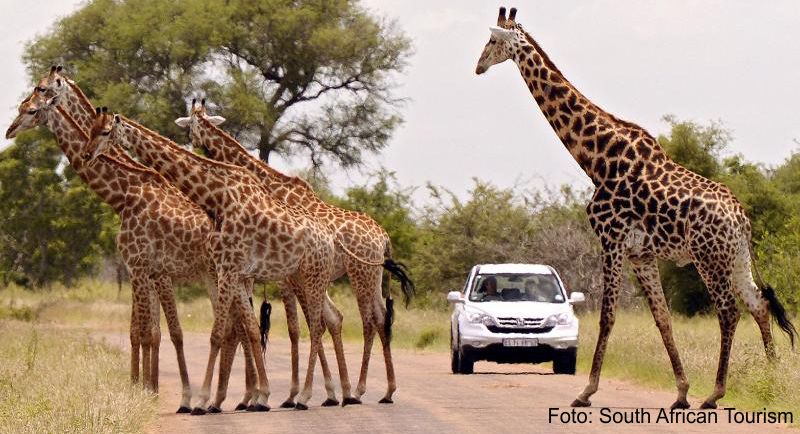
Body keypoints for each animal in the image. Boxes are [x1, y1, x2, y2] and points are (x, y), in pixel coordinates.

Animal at [172, 98, 416, 404]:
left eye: (190, 126)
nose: (190, 144)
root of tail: (383, 238)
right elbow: (309, 323)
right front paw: (320, 391)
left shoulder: (285, 277)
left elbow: (297, 327)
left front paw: (294, 394)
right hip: (373, 277)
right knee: (381, 318)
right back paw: (385, 390)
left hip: (360, 275)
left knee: (369, 321)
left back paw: (360, 389)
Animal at [476, 6, 792, 408]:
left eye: (492, 40)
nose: (478, 66)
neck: (596, 160)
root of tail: (742, 219)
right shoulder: (641, 253)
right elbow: (662, 318)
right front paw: (681, 392)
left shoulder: (611, 240)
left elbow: (607, 316)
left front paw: (586, 391)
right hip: (735, 257)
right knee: (758, 304)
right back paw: (772, 378)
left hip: (709, 258)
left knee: (729, 310)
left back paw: (716, 393)